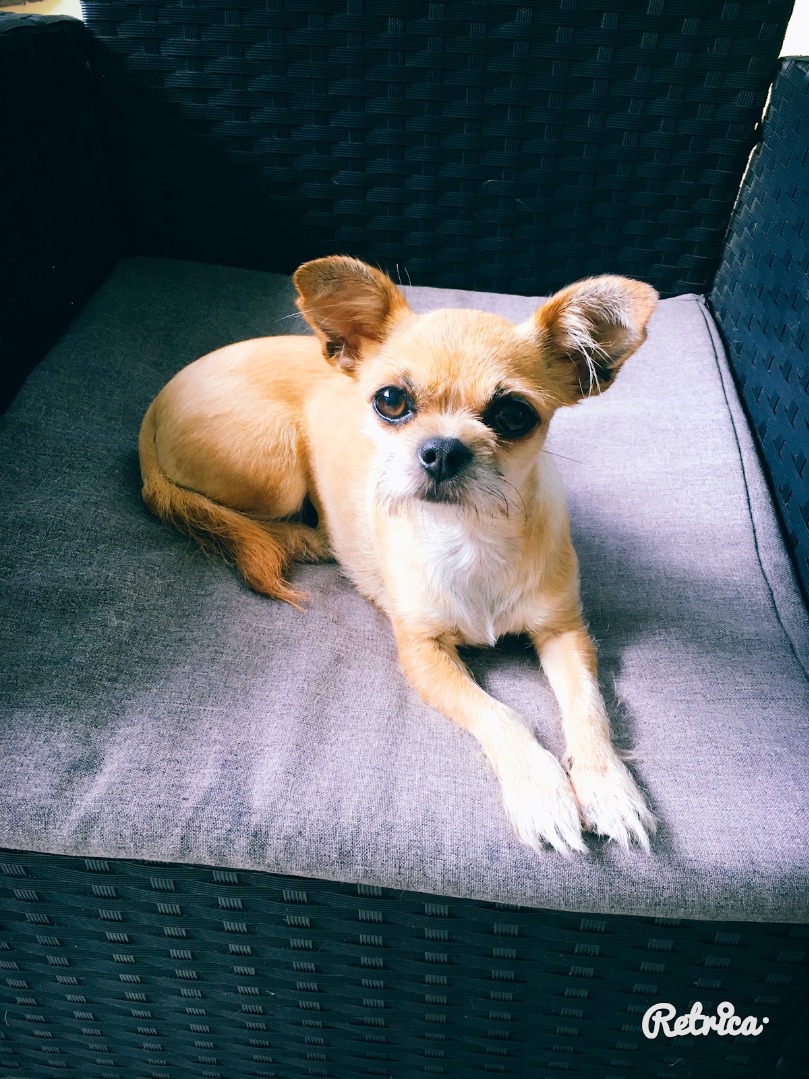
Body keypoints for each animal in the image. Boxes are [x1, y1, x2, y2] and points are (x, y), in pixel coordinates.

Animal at [139, 256, 658, 854]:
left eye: (514, 415)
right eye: (390, 401)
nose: (443, 450)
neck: (470, 536)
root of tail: (157, 403)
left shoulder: (564, 632)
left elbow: (590, 711)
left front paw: (610, 788)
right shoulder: (423, 653)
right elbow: (502, 716)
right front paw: (541, 791)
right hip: (278, 471)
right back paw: (309, 538)